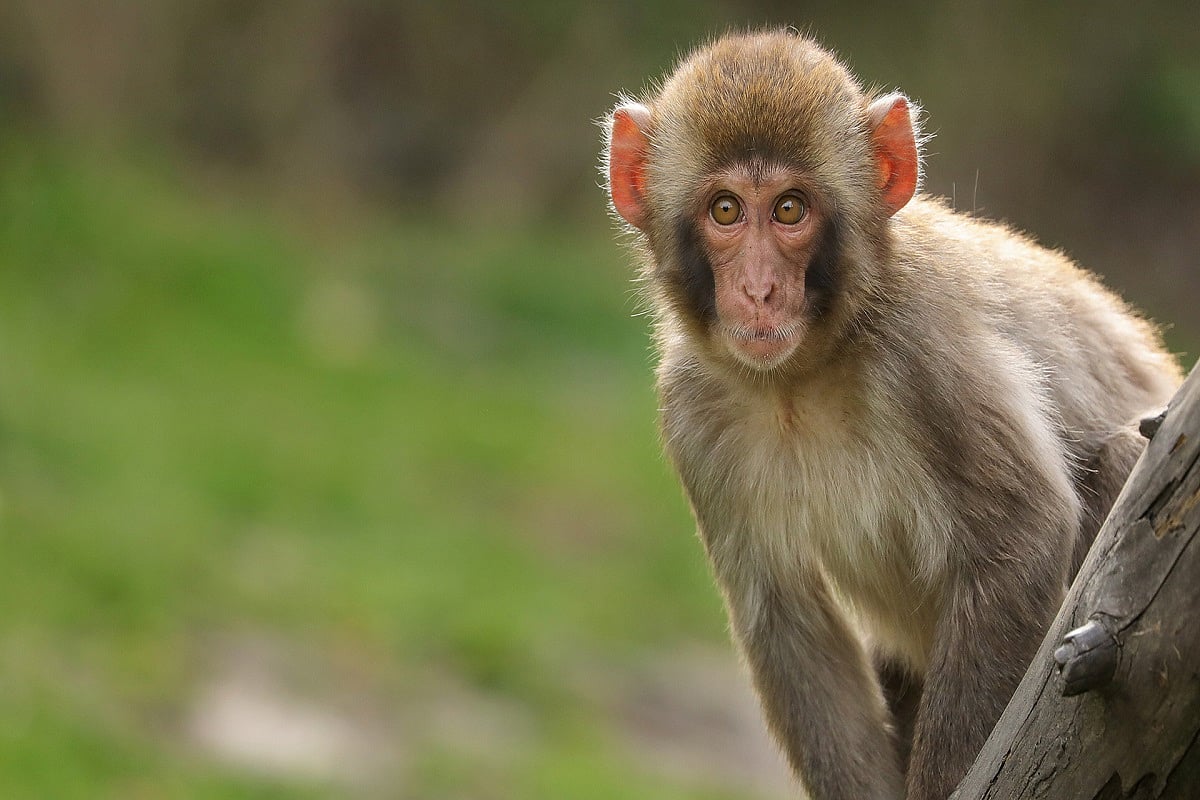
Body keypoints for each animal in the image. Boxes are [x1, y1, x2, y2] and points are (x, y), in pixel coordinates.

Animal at [601, 30, 1182, 800]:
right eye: (725, 211)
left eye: (789, 210)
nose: (758, 290)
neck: (801, 377)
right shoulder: (693, 411)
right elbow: (787, 624)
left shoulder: (927, 350)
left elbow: (1019, 539)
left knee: (1117, 457)